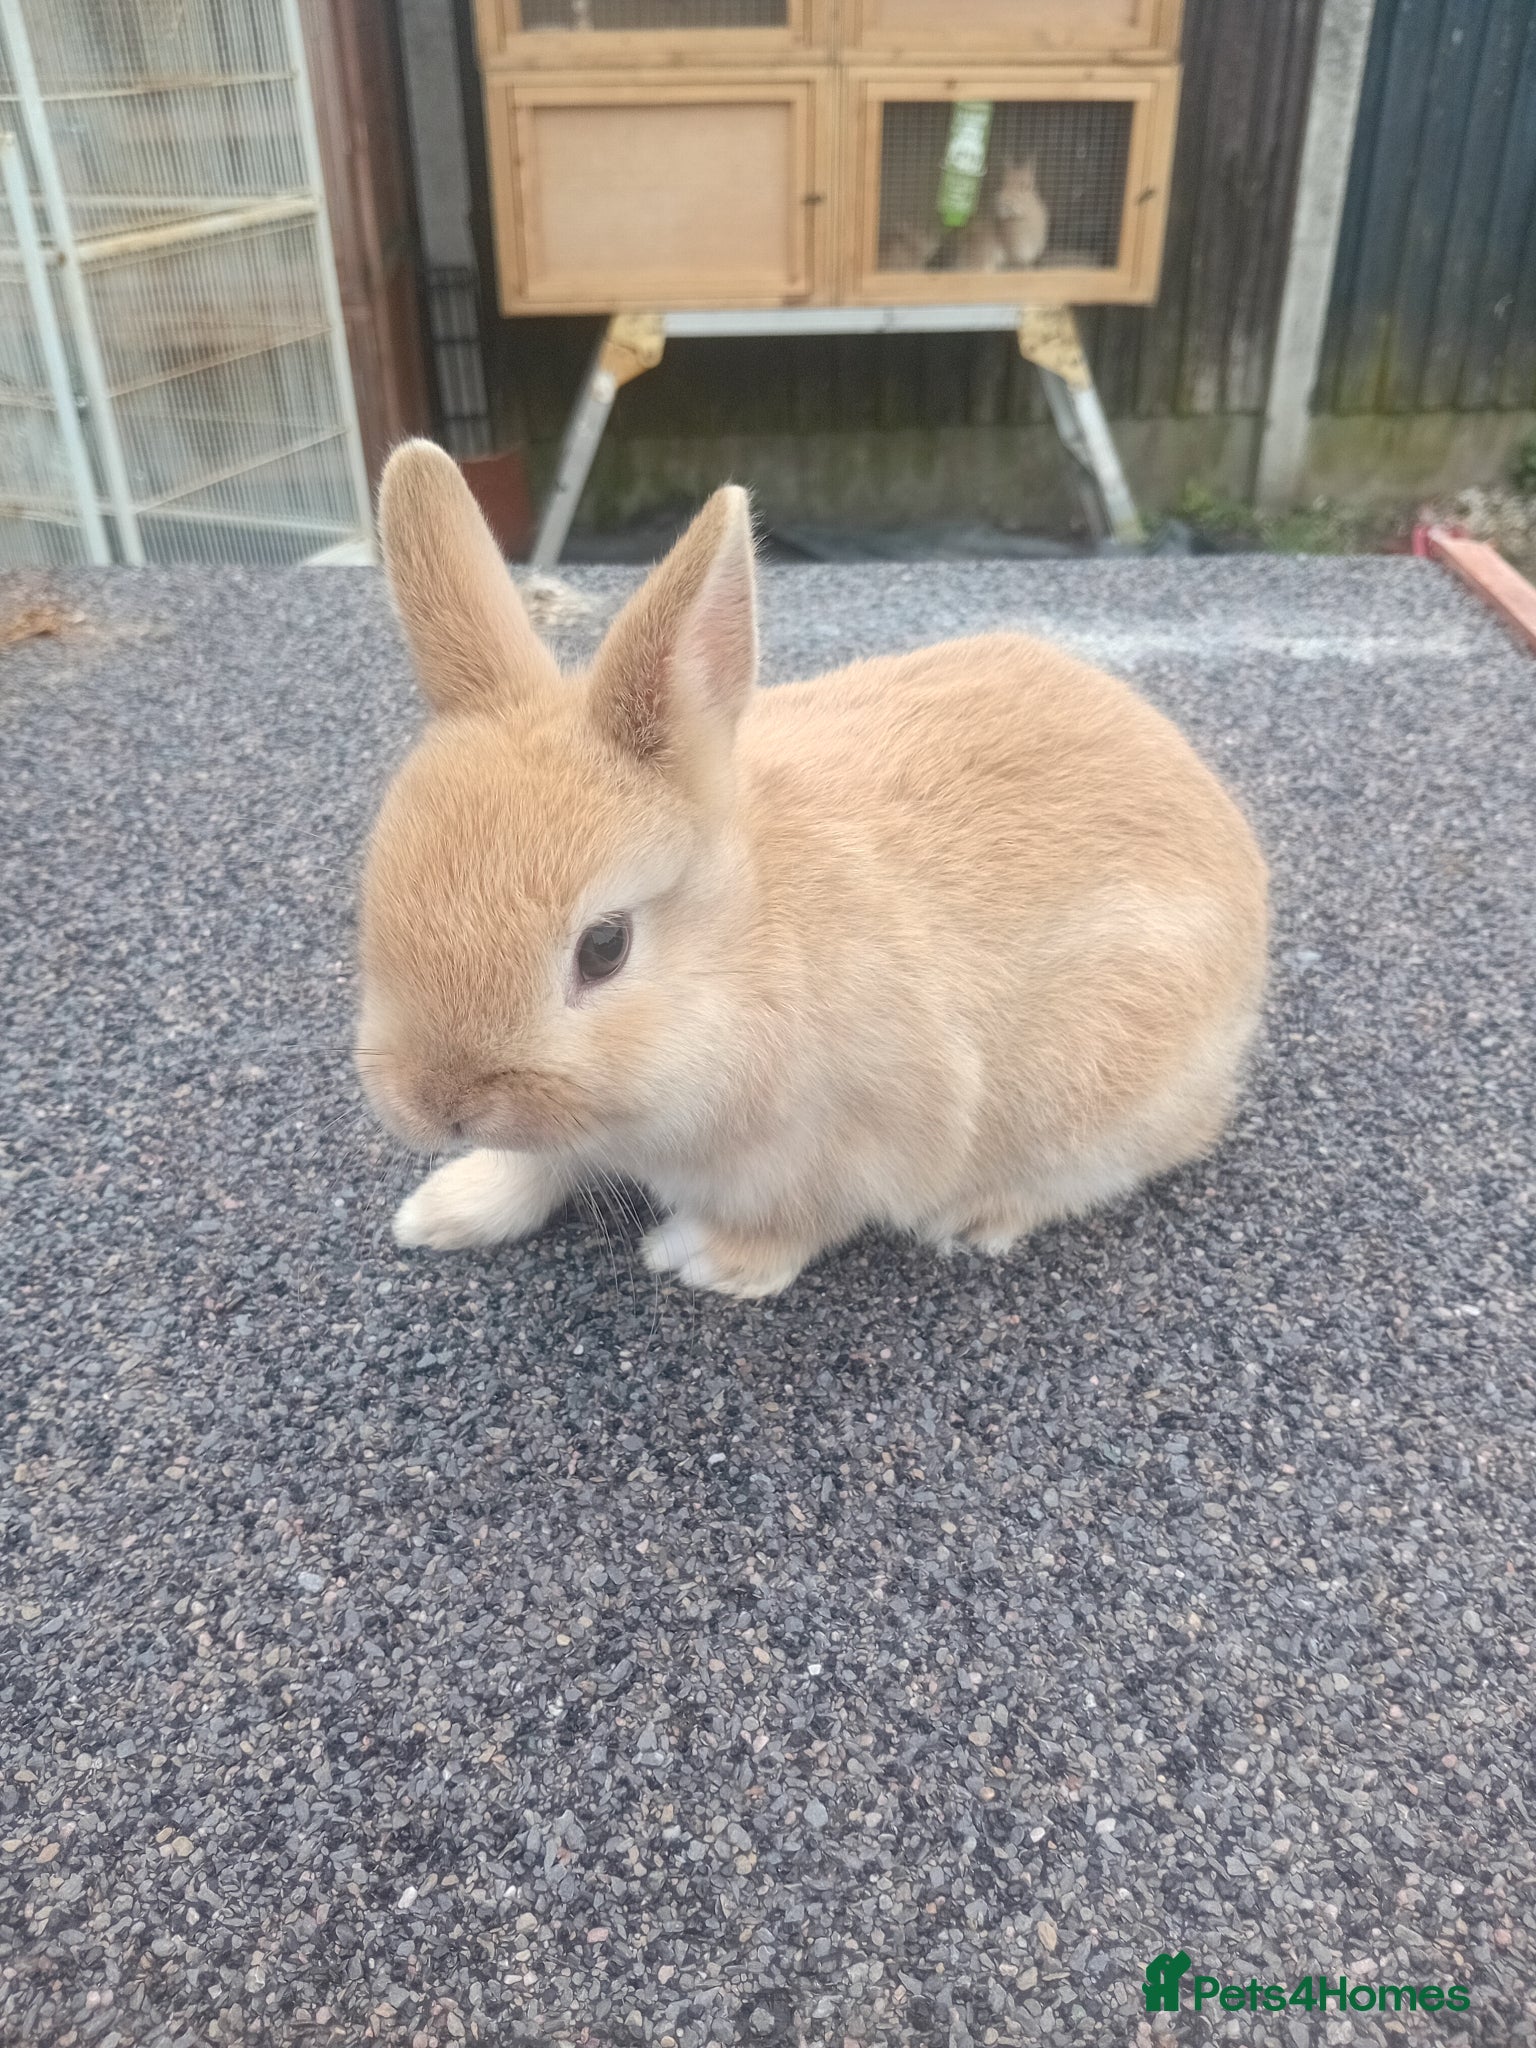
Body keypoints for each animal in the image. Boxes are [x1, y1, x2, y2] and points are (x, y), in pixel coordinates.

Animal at [356, 442, 1268, 1299]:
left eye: (605, 947)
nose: (437, 1108)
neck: (752, 946)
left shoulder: (868, 1138)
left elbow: (804, 1222)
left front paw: (705, 1258)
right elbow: (539, 1163)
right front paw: (445, 1209)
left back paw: (979, 1217)